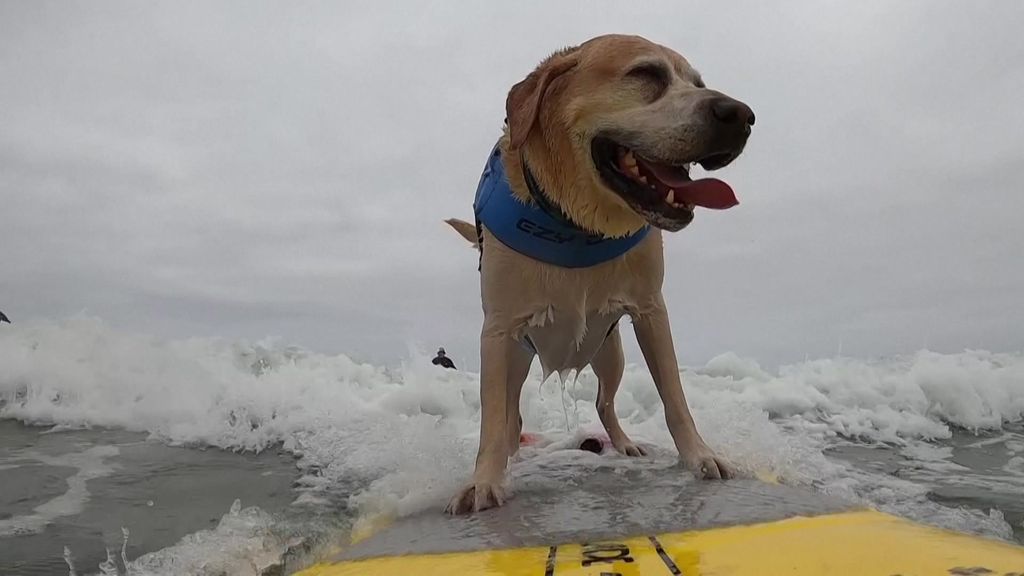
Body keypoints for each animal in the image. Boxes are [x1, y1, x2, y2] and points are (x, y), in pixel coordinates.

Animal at [446, 33, 753, 512]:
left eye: (698, 83)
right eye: (646, 73)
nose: (741, 115)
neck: (576, 226)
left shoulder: (651, 312)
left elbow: (674, 397)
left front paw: (700, 456)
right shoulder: (497, 332)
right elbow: (493, 419)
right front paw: (485, 480)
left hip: (611, 356)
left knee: (604, 404)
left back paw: (624, 444)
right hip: (518, 358)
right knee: (512, 413)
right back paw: (513, 451)